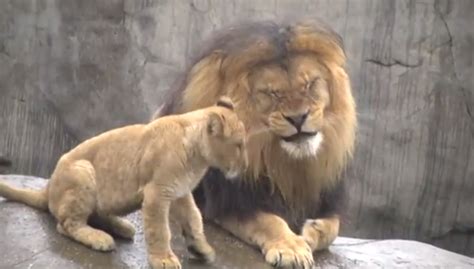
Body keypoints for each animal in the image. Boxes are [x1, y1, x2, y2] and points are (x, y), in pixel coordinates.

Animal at [156, 19, 356, 266]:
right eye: (272, 93)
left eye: (310, 84)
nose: (298, 118)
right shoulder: (229, 203)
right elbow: (269, 221)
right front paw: (291, 248)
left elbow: (334, 226)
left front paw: (313, 231)